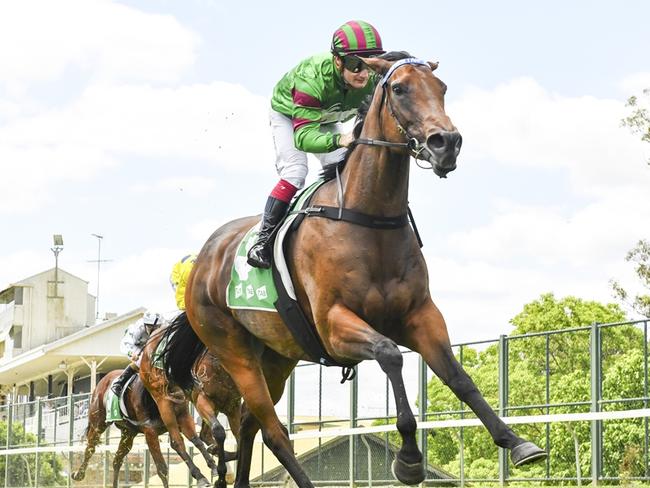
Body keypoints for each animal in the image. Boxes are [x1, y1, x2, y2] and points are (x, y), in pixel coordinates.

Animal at [140, 322, 240, 486]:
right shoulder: (202, 399)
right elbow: (219, 431)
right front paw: (221, 475)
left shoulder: (233, 406)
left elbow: (239, 437)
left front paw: (218, 454)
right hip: (164, 402)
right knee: (177, 441)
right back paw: (200, 476)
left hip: (182, 404)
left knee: (201, 436)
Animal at [163, 53, 548, 488]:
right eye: (399, 88)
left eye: (442, 88)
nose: (446, 143)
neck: (369, 219)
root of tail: (201, 261)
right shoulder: (333, 325)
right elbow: (390, 355)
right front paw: (409, 459)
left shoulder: (420, 314)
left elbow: (458, 376)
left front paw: (517, 443)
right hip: (235, 352)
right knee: (273, 430)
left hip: (278, 355)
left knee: (250, 422)